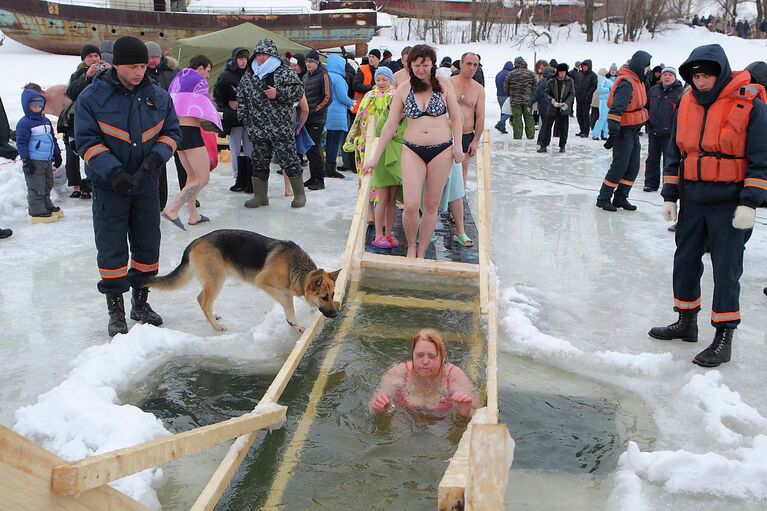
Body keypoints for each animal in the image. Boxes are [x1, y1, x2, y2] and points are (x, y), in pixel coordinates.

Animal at [147, 231, 340, 332]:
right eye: (324, 297)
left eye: (333, 295)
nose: (336, 315)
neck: (294, 267)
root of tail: (194, 242)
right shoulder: (263, 281)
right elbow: (287, 302)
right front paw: (294, 322)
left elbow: (290, 300)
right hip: (217, 280)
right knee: (204, 301)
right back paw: (216, 325)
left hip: (212, 281)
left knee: (201, 299)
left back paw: (213, 318)